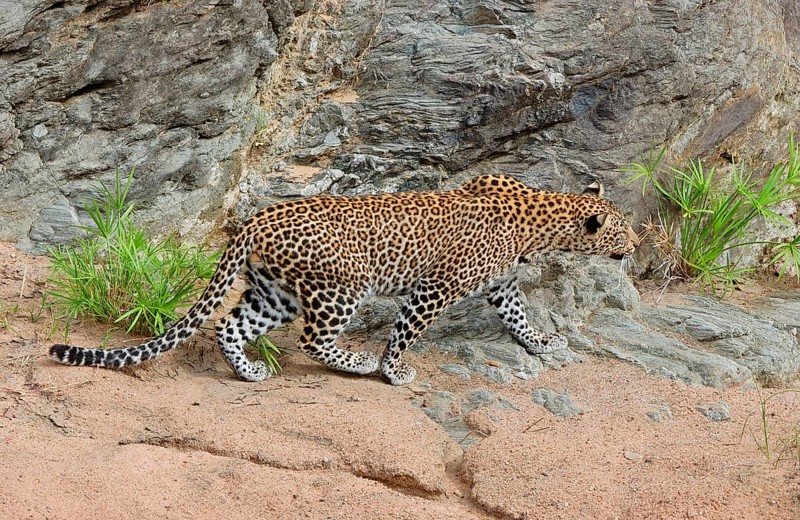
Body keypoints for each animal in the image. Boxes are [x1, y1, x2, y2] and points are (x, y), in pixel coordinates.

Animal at [49, 174, 639, 386]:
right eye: (624, 229)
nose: (635, 247)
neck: (542, 223)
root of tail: (256, 218)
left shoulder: (500, 283)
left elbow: (518, 313)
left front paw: (540, 342)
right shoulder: (435, 288)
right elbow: (406, 332)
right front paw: (394, 370)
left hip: (276, 292)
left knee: (230, 327)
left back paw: (250, 372)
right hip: (340, 287)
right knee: (314, 340)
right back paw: (357, 363)